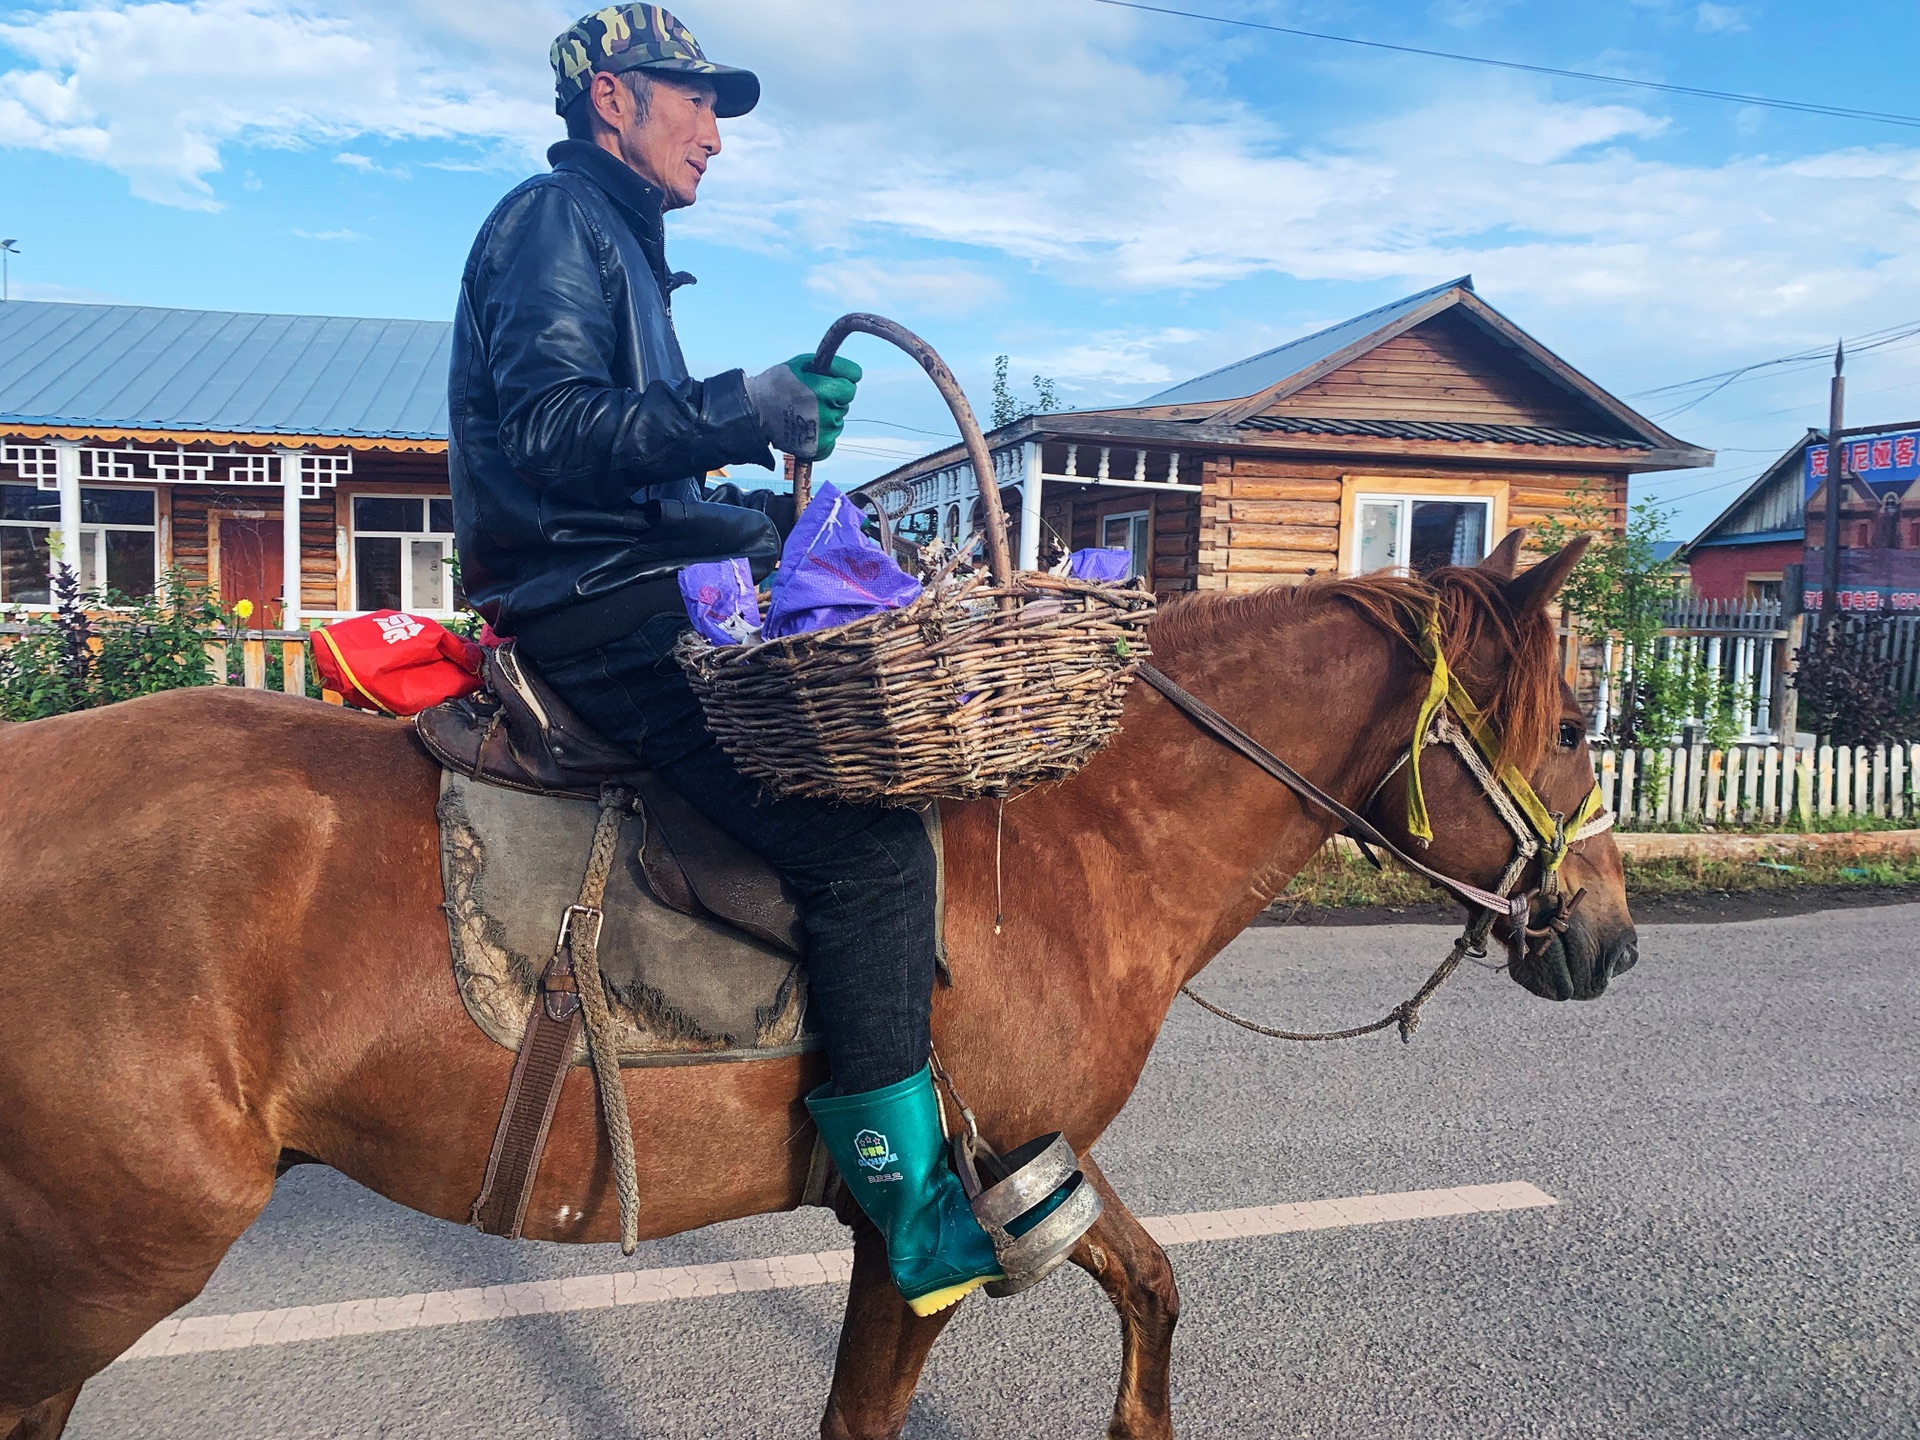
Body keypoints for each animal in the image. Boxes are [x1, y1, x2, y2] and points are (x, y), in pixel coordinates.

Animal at [0, 537, 1635, 1440]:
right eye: (1569, 729)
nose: (1612, 940)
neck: (1068, 836)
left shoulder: (1027, 1159)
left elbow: (1153, 1287)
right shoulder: (921, 1235)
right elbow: (862, 1413)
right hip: (104, 1266)